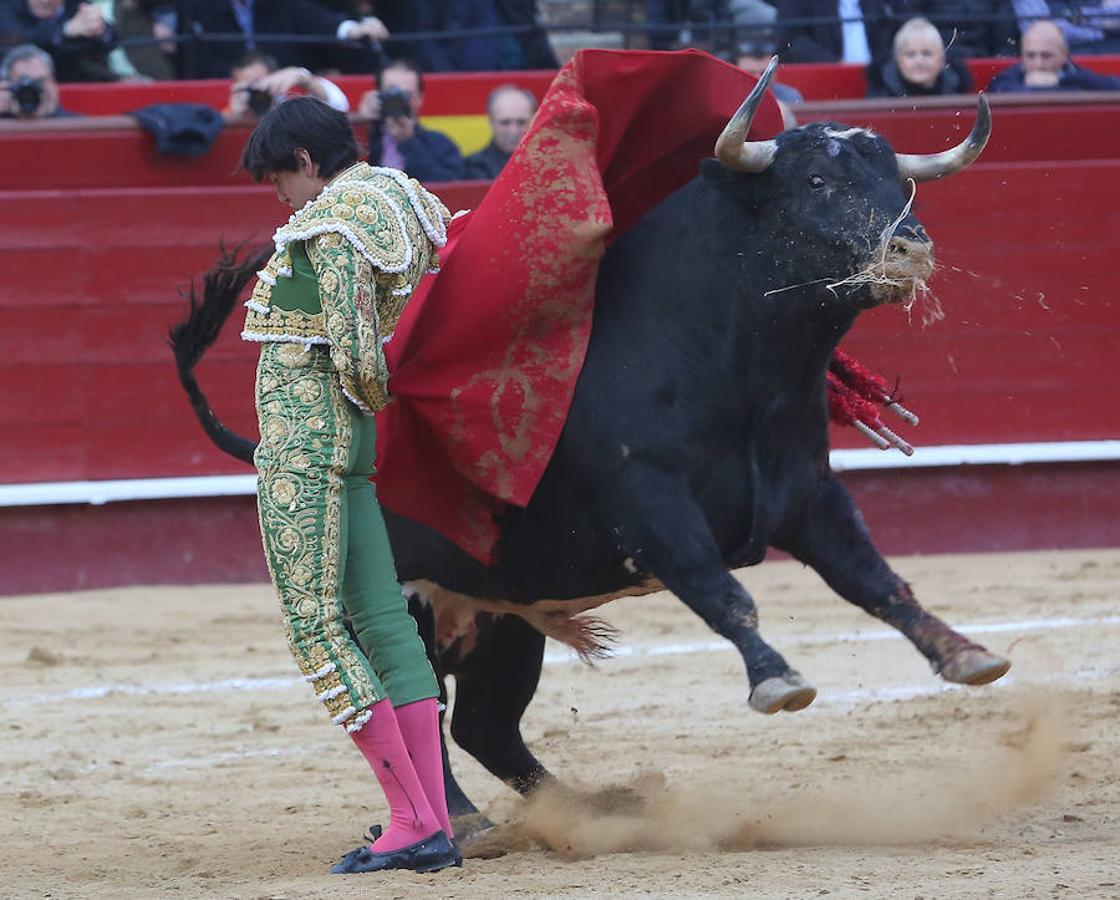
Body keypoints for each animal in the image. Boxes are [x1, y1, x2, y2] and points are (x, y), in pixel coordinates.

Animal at [172, 72, 1008, 837]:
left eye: (896, 179)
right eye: (816, 181)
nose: (910, 248)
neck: (739, 366)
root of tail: (257, 445)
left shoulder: (810, 497)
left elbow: (877, 581)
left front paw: (966, 655)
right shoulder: (653, 509)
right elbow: (725, 594)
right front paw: (778, 682)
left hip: (499, 617)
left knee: (484, 724)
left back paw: (589, 810)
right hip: (396, 598)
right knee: (419, 701)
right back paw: (466, 821)